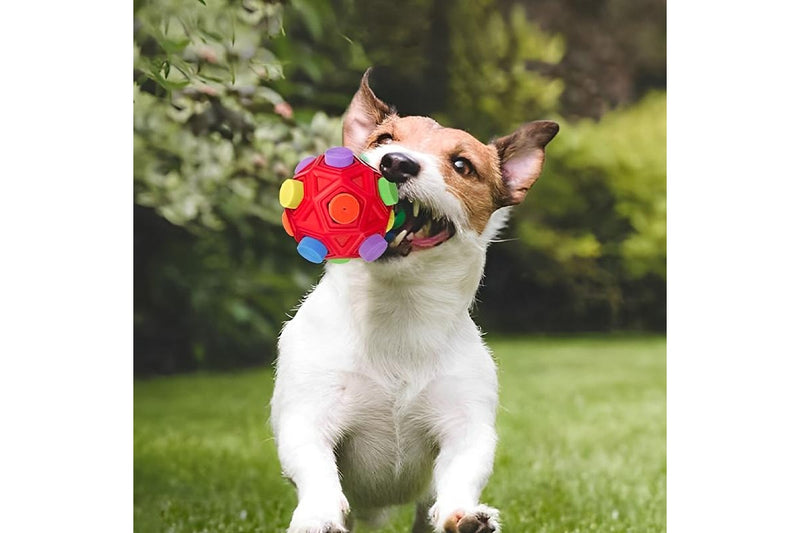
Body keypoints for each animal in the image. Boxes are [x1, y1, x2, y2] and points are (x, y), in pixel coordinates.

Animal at [272, 70, 560, 532]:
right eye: (383, 139)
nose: (396, 162)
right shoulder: (308, 415)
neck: (397, 310)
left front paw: (464, 515)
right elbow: (314, 467)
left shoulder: (465, 427)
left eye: (462, 165)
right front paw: (317, 514)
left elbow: (463, 470)